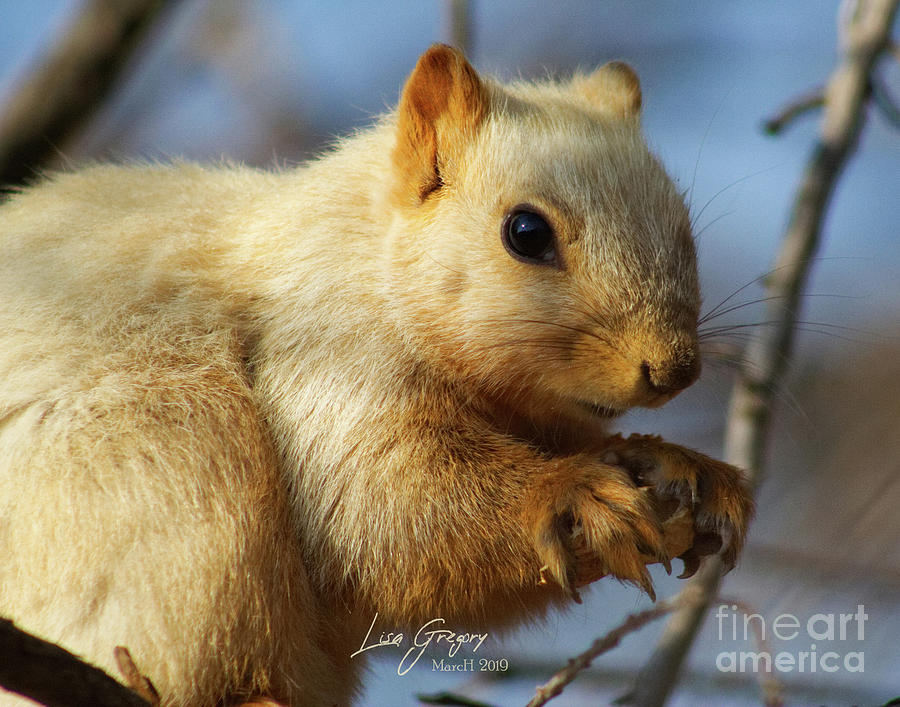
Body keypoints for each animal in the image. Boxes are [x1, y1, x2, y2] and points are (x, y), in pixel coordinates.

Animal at [0, 45, 752, 707]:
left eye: (682, 224)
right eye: (526, 232)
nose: (674, 369)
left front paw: (679, 466)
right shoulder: (325, 350)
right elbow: (382, 518)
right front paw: (575, 493)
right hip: (166, 466)